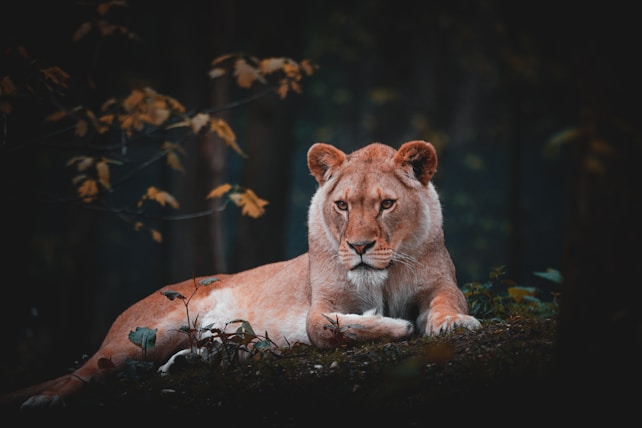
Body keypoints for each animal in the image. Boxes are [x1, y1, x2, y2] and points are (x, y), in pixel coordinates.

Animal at [1, 140, 481, 410]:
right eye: (343, 205)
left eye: (387, 204)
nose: (359, 248)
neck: (384, 273)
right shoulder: (321, 305)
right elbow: (328, 328)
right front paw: (394, 325)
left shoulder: (440, 284)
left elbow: (447, 303)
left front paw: (453, 323)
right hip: (143, 336)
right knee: (83, 373)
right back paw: (43, 400)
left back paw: (189, 363)